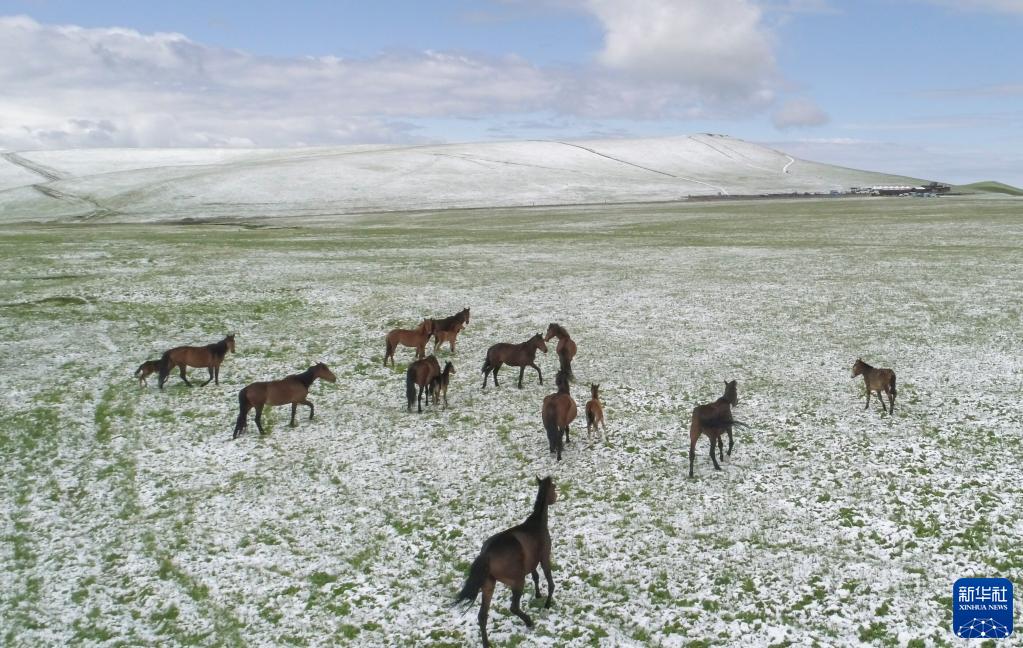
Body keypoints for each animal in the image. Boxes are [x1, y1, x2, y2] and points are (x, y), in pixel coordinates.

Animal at [454, 474, 556, 646]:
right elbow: (549, 581)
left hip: (488, 585)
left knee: (482, 616)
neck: (536, 522)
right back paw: (529, 622)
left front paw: (537, 595)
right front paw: (547, 604)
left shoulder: (531, 563)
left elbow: (535, 577)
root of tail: (486, 554)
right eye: (554, 488)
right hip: (517, 581)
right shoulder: (544, 558)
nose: (555, 498)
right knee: (513, 607)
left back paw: (486, 643)